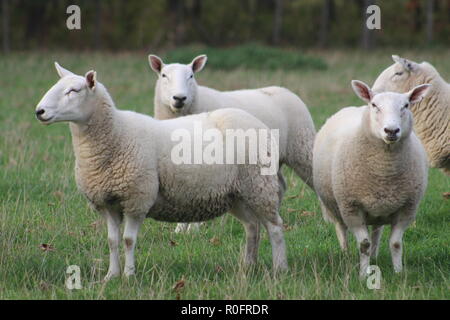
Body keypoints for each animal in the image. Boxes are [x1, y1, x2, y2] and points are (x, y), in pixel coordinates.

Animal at [36, 62, 288, 280]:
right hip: (236, 194)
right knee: (252, 226)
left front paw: (129, 275)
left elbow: (128, 240)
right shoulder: (107, 203)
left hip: (259, 185)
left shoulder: (137, 198)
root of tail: (258, 123)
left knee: (275, 227)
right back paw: (248, 266)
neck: (116, 134)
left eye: (73, 90)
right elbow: (112, 241)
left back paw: (279, 269)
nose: (39, 111)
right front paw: (111, 276)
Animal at [149, 53, 316, 232]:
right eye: (164, 75)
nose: (179, 98)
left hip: (302, 146)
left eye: (191, 76)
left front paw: (193, 228)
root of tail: (285, 90)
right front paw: (180, 230)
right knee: (280, 186)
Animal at [312, 80, 430, 278]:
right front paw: (362, 275)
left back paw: (374, 256)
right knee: (341, 229)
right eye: (375, 105)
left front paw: (398, 273)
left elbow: (395, 243)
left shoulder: (407, 208)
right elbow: (363, 244)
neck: (384, 171)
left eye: (406, 105)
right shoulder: (351, 208)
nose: (391, 130)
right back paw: (345, 253)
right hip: (335, 206)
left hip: (379, 209)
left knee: (376, 231)